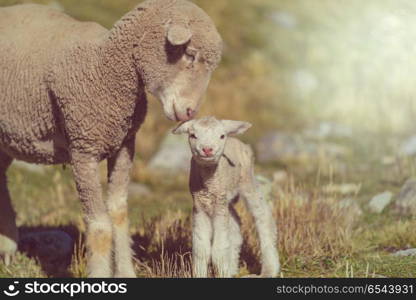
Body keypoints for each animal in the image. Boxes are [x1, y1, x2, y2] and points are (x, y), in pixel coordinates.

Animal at [0, 0, 223, 278]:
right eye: (190, 54)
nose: (190, 111)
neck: (105, 67)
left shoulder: (124, 145)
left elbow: (118, 215)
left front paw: (126, 273)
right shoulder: (83, 149)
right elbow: (99, 225)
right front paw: (99, 275)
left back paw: (7, 245)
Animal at [172, 116, 280, 276]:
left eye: (222, 136)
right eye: (193, 135)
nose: (207, 149)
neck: (209, 185)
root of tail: (236, 139)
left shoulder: (219, 207)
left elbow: (218, 250)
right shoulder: (199, 206)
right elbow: (201, 249)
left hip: (247, 180)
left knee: (263, 215)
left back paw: (269, 269)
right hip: (227, 198)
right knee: (235, 224)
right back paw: (232, 268)